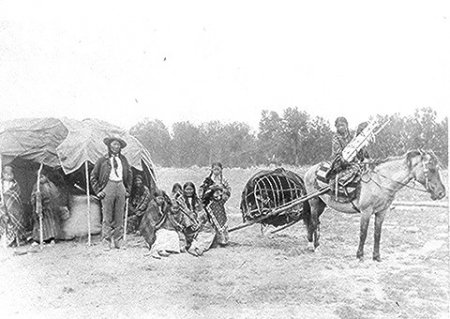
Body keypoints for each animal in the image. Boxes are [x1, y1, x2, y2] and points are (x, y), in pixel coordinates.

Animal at [304, 150, 444, 262]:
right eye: (431, 168)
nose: (442, 193)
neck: (381, 182)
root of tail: (311, 170)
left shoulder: (382, 212)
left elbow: (377, 234)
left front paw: (376, 256)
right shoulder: (366, 212)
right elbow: (363, 233)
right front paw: (360, 256)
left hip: (322, 204)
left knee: (314, 222)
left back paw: (314, 243)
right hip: (314, 202)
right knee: (314, 221)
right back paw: (314, 246)